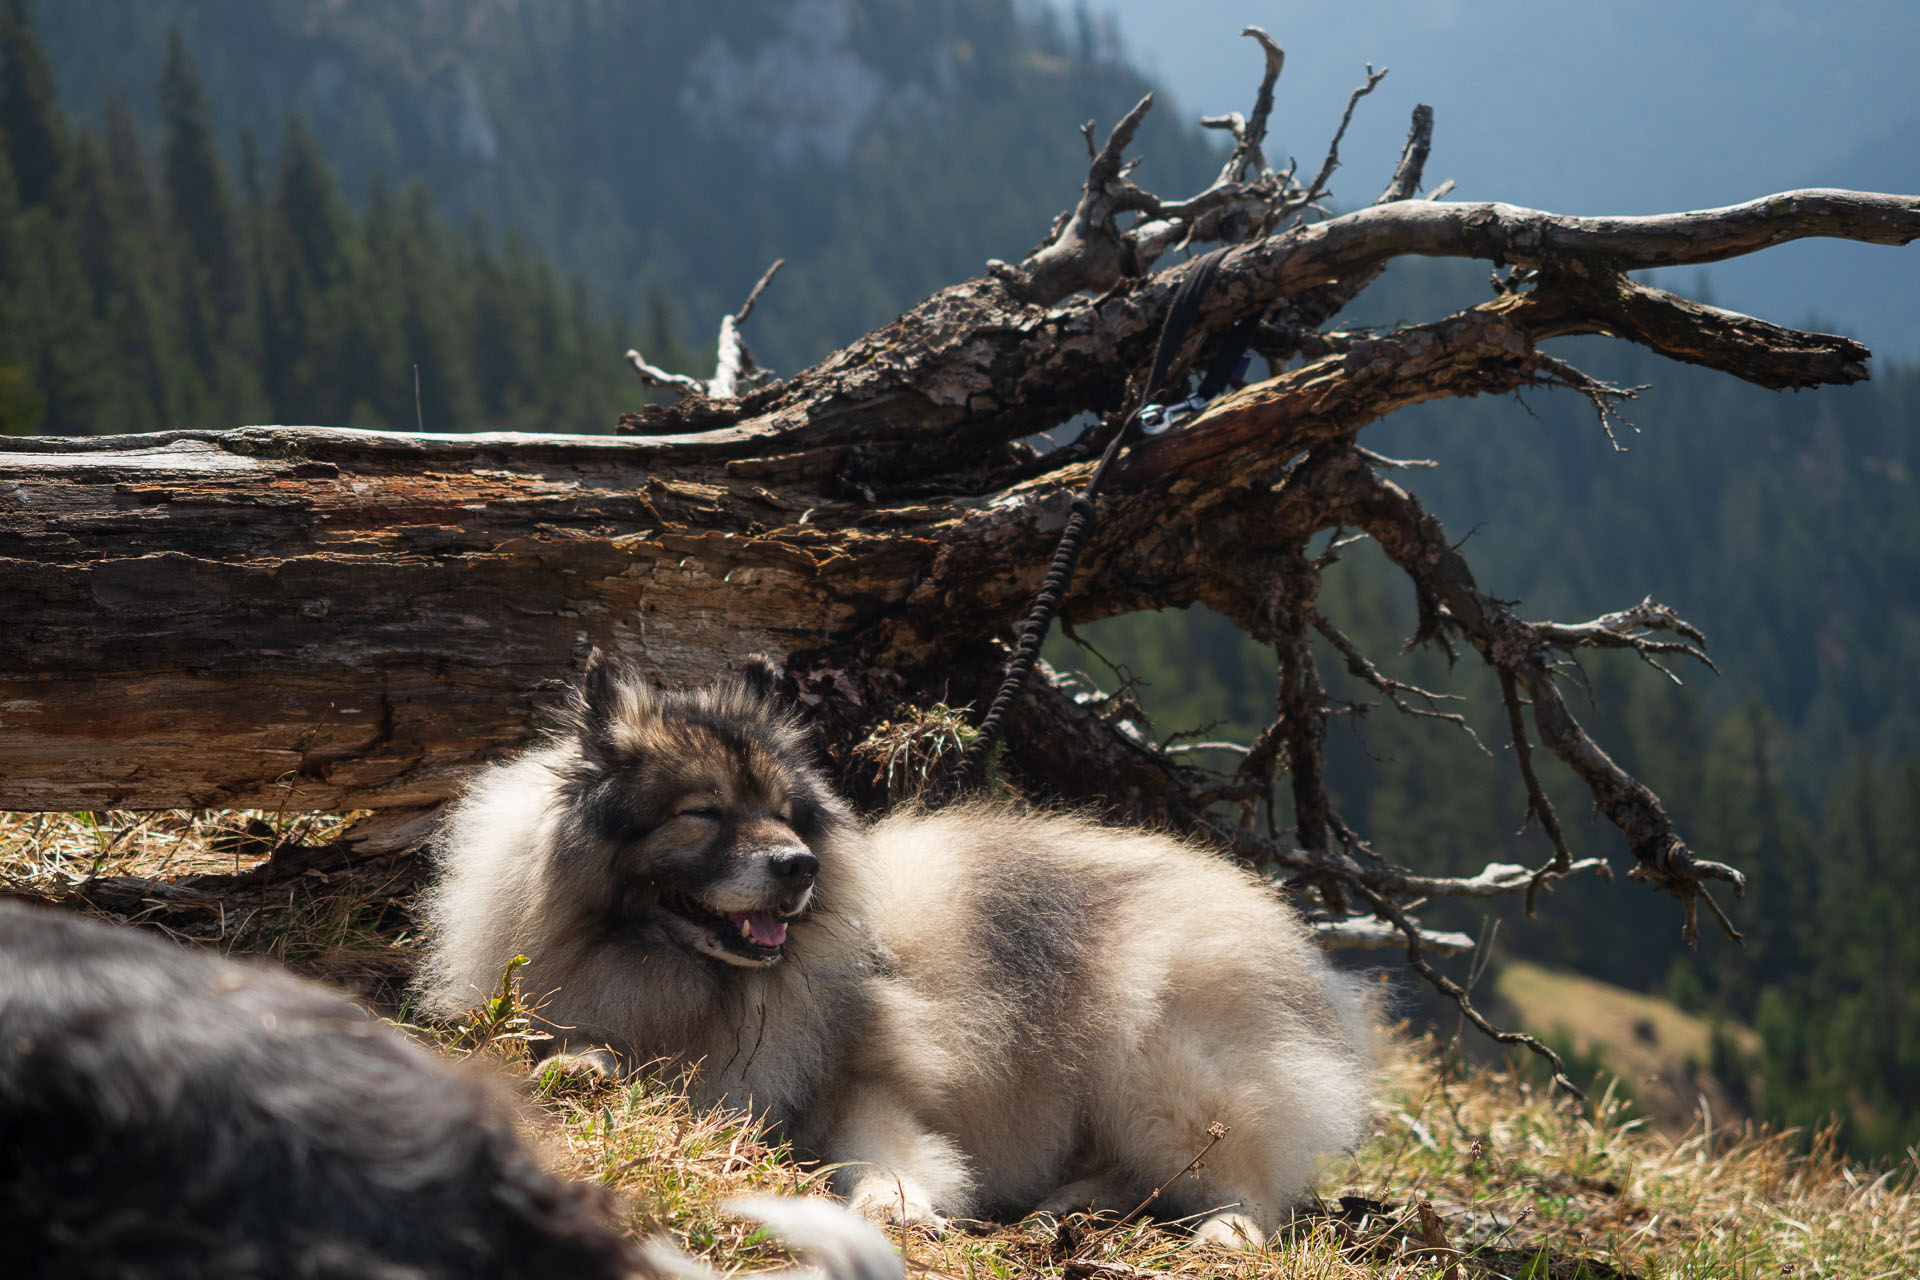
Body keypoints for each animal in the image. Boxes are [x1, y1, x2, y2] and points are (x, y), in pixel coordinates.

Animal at [422, 656, 1374, 1243]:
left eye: (785, 813)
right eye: (702, 812)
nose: (799, 867)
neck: (695, 979)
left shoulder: (867, 1081)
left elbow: (881, 1148)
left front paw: (900, 1200)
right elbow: (581, 1052)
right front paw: (578, 1067)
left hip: (1159, 1061)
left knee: (1247, 1184)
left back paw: (1220, 1232)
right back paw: (1068, 1209)